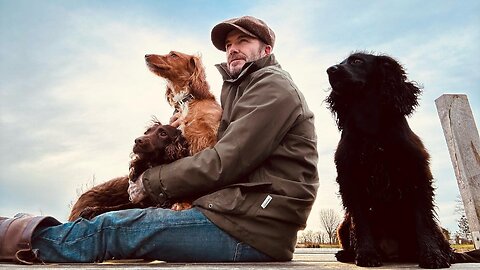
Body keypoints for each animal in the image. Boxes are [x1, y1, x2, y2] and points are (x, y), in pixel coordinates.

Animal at [324, 52, 478, 268]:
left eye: (357, 61)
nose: (330, 69)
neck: (369, 123)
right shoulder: (351, 181)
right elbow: (361, 222)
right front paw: (367, 254)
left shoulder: (417, 176)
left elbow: (422, 221)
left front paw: (432, 255)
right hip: (343, 224)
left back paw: (442, 254)